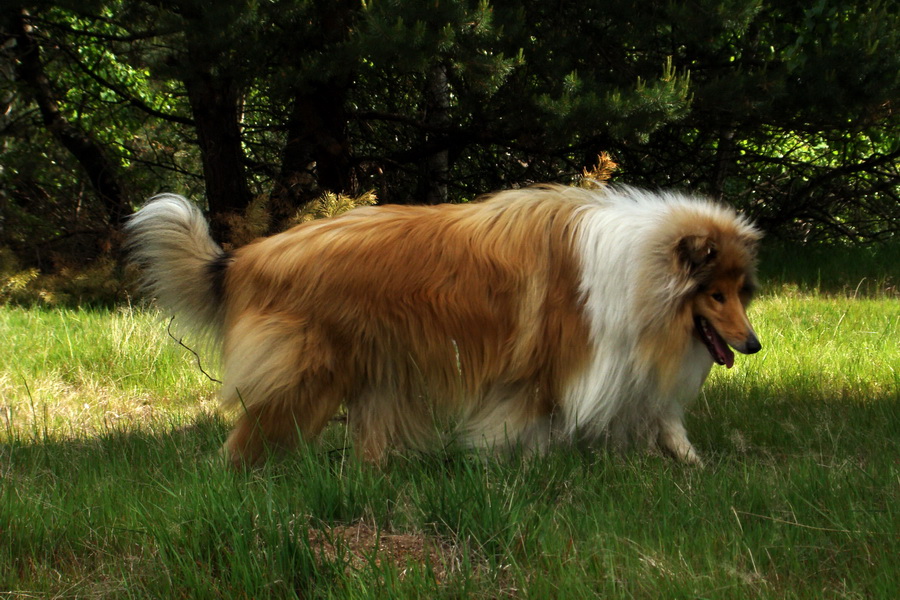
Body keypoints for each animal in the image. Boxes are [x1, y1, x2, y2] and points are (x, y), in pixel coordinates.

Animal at [126, 185, 760, 466]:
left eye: (741, 291)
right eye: (716, 294)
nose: (753, 344)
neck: (642, 267)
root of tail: (244, 258)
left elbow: (660, 413)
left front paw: (689, 460)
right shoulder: (552, 365)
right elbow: (533, 422)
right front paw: (517, 468)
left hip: (374, 371)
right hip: (307, 373)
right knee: (246, 436)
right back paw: (239, 481)